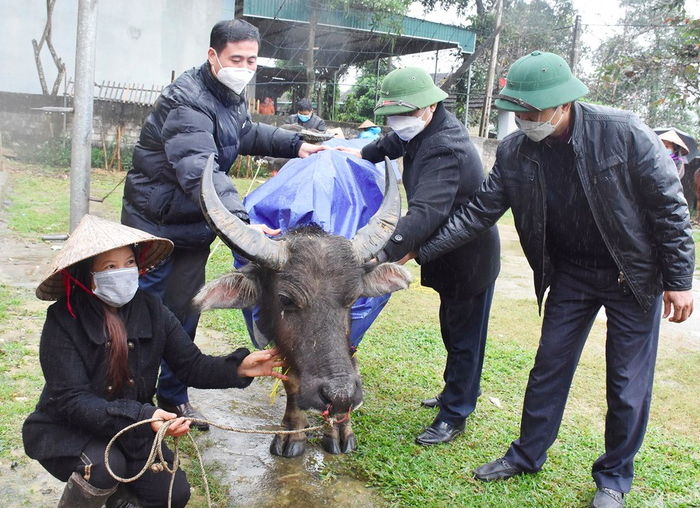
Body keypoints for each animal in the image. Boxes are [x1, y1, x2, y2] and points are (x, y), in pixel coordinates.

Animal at [191, 154, 410, 456]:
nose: (340, 395)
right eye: (286, 299)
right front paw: (292, 433)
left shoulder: (355, 333)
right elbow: (291, 381)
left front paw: (341, 428)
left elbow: (352, 363)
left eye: (354, 297)